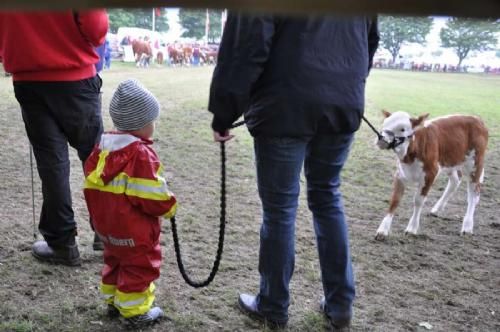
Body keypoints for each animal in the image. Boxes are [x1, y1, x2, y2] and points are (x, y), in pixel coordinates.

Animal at [376, 111, 488, 239]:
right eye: (385, 124)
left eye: (402, 129)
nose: (381, 139)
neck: (409, 157)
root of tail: (477, 119)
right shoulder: (400, 174)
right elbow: (395, 200)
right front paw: (383, 230)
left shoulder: (430, 173)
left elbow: (418, 201)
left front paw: (412, 228)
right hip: (450, 160)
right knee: (455, 180)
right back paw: (437, 209)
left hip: (475, 163)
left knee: (473, 194)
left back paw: (467, 226)